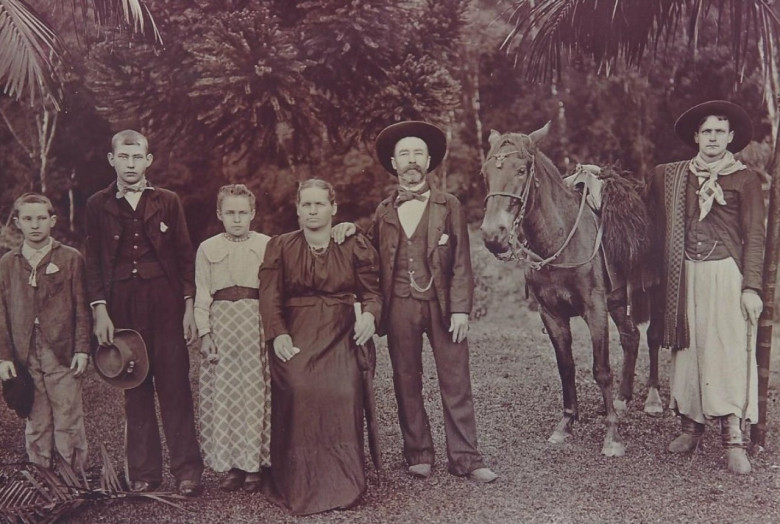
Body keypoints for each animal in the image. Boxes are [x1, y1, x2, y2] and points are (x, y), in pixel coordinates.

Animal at [478, 124, 656, 454]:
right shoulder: (552, 314)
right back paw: (623, 398)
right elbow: (566, 367)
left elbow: (601, 369)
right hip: (617, 302)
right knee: (632, 337)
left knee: (653, 337)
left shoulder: (594, 309)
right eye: (486, 172)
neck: (559, 241)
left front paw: (612, 435)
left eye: (521, 169)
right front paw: (566, 424)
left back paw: (653, 399)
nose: (492, 235)